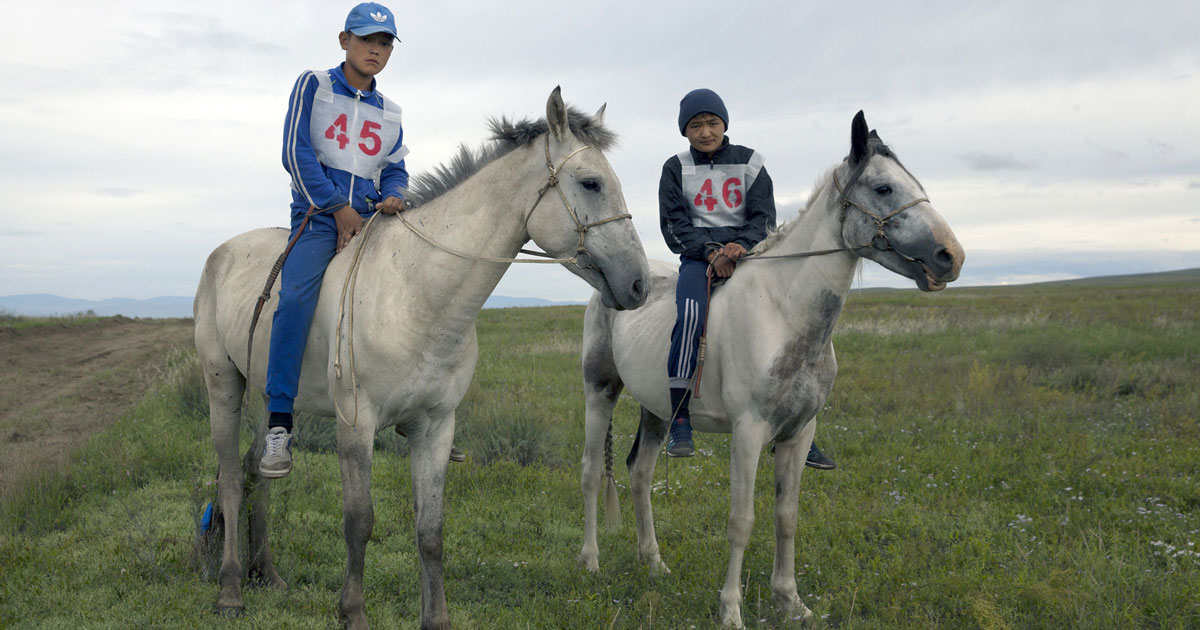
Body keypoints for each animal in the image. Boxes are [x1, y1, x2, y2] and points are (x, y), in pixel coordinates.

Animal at [194, 88, 648, 628]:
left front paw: (436, 618)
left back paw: (266, 573)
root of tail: (221, 253)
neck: (415, 291)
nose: (640, 284)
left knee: (258, 473)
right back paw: (230, 590)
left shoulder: (435, 426)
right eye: (591, 182)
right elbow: (359, 521)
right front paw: (353, 613)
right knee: (229, 478)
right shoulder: (357, 425)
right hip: (224, 386)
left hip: (273, 399)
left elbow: (431, 531)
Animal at [576, 110, 960, 624]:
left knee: (639, 474)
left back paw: (653, 563)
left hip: (657, 410)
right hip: (600, 390)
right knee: (591, 471)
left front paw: (790, 602)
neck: (784, 313)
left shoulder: (798, 434)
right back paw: (590, 561)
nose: (951, 255)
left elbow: (786, 517)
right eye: (883, 188)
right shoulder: (749, 432)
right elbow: (742, 521)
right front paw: (731, 611)